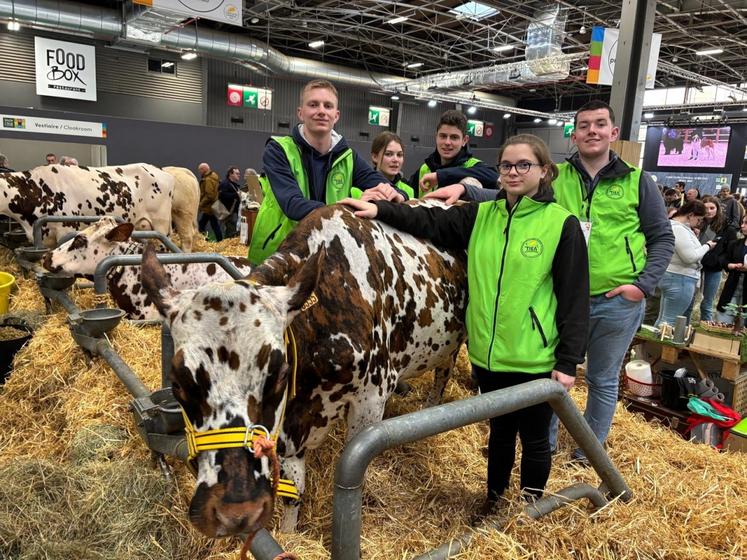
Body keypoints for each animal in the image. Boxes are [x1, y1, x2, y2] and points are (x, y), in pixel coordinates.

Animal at [141, 203, 468, 536]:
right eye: (178, 384)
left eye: (279, 374)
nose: (235, 511)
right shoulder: (287, 424)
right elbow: (293, 489)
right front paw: (288, 533)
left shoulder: (372, 397)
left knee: (443, 375)